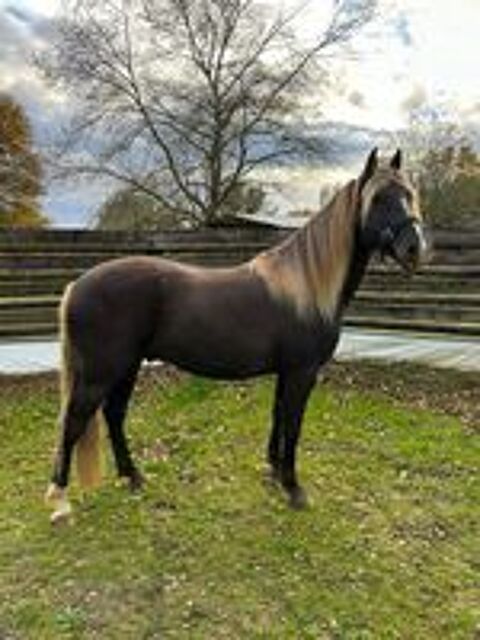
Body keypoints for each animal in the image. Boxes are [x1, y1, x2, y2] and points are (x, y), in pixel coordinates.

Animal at [45, 148, 427, 523]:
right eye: (378, 199)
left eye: (409, 195)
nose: (414, 248)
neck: (305, 288)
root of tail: (76, 286)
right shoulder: (302, 372)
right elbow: (293, 426)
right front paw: (294, 489)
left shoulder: (286, 372)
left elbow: (278, 417)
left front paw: (274, 472)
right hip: (100, 373)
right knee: (73, 422)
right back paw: (61, 501)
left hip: (127, 367)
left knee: (114, 414)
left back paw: (133, 477)